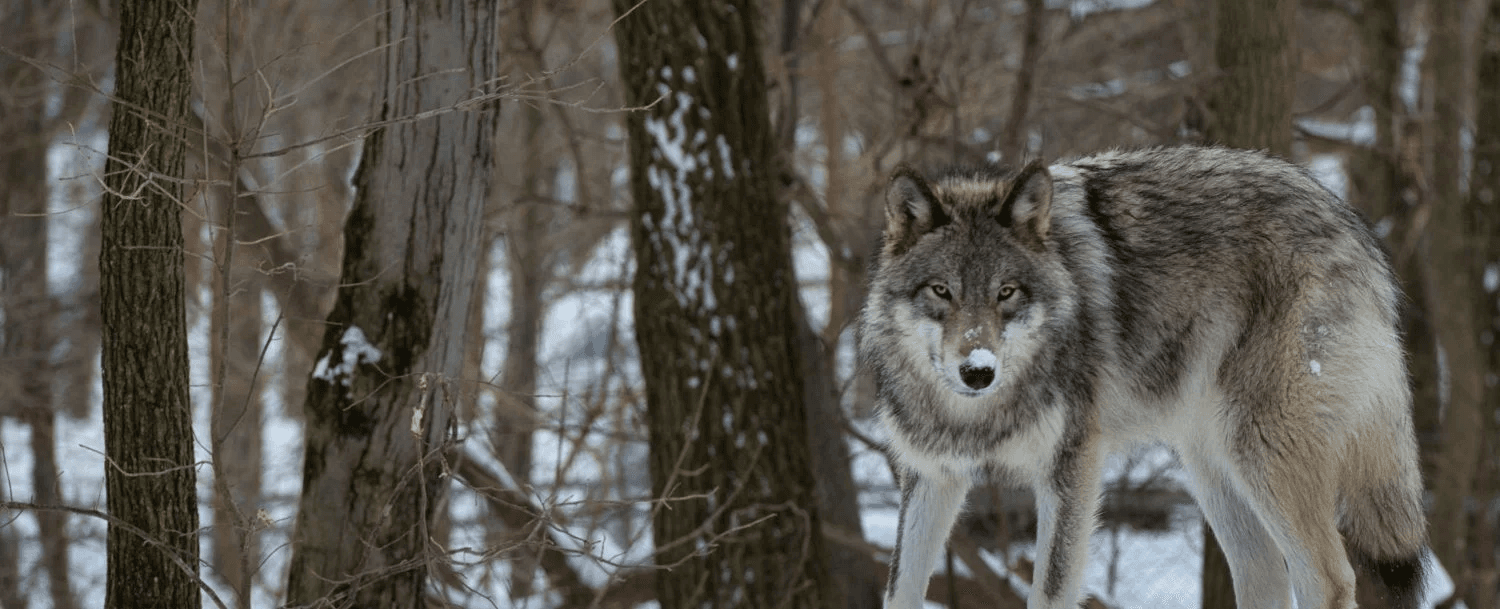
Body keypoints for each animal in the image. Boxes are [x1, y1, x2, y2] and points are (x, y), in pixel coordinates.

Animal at [858, 146, 1428, 609]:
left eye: (1006, 292)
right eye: (941, 291)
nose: (978, 371)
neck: (976, 415)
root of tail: (1353, 225)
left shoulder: (1072, 466)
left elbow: (1049, 592)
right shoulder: (930, 475)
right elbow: (899, 590)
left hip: (1260, 452)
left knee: (1328, 579)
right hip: (1212, 463)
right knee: (1266, 576)